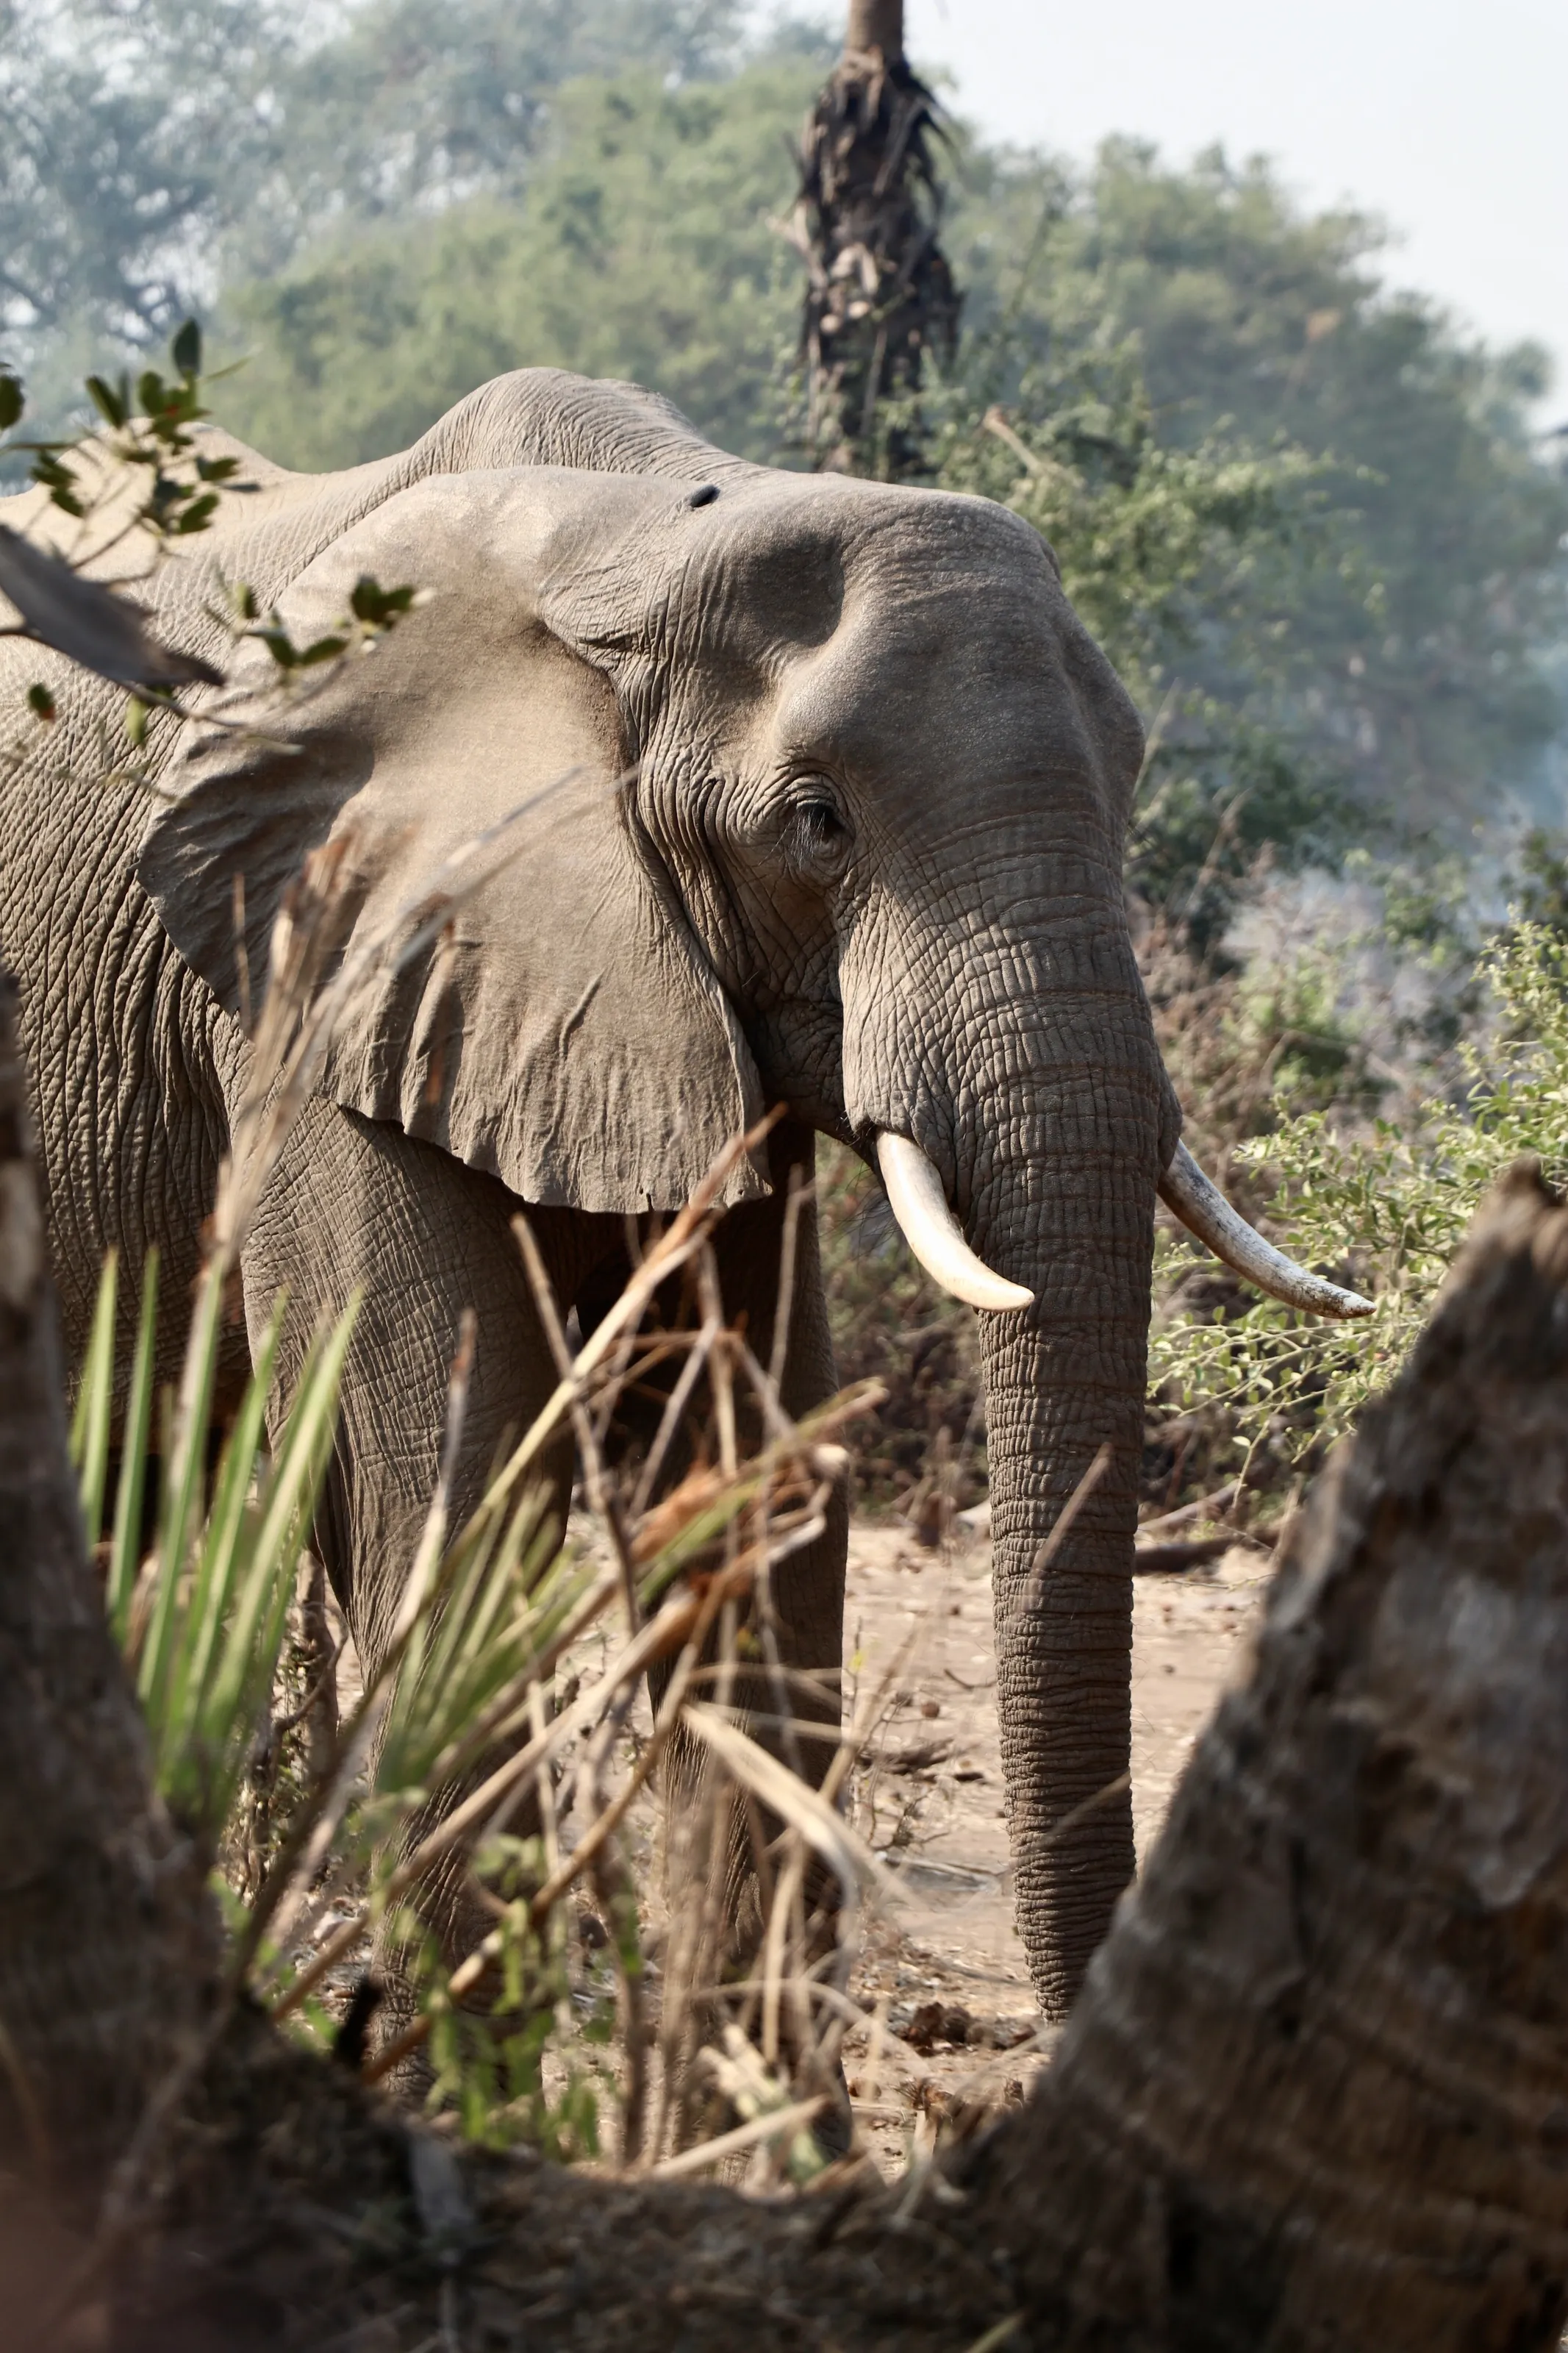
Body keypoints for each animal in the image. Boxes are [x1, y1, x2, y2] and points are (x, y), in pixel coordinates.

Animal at [0, 368, 1365, 2021]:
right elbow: (441, 1490)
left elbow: (749, 1491)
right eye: (817, 823)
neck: (644, 535)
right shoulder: (316, 975)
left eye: (1128, 800)